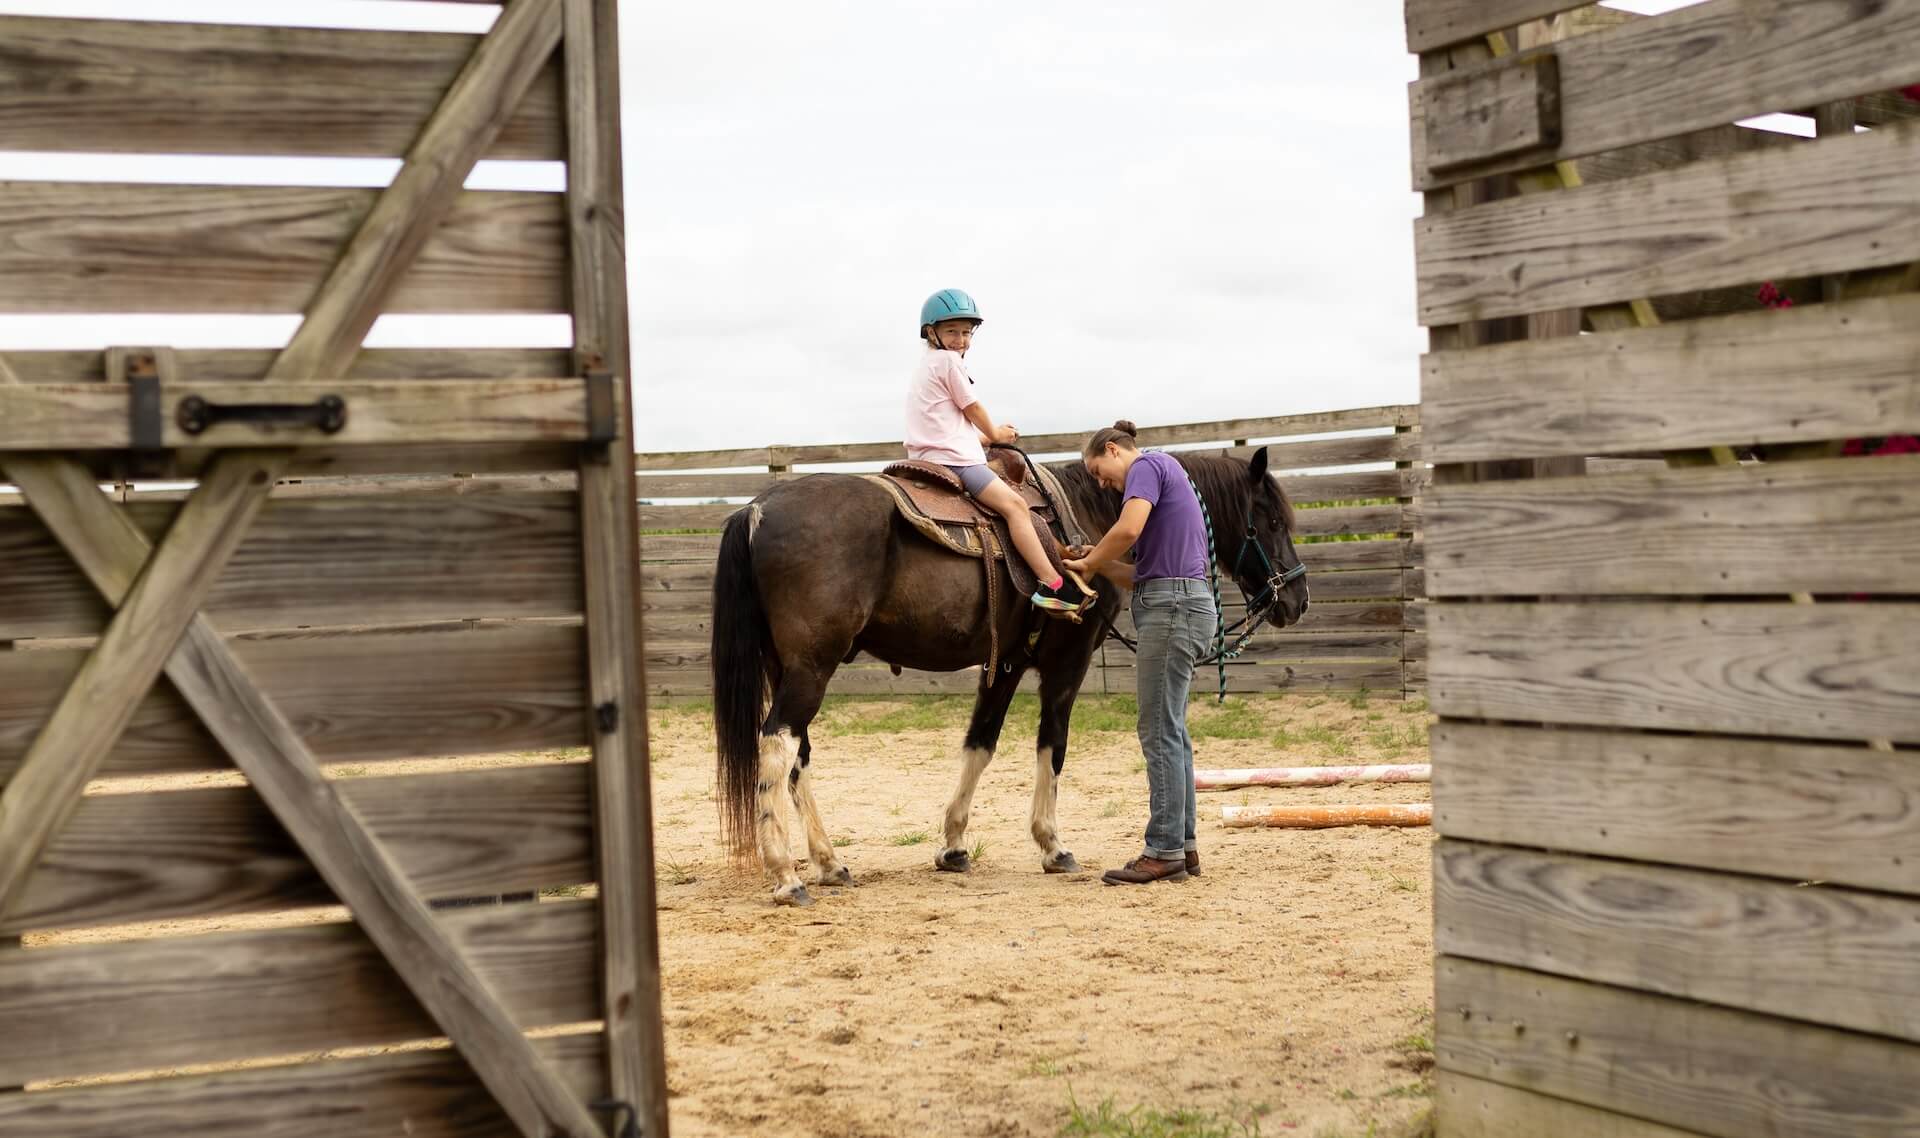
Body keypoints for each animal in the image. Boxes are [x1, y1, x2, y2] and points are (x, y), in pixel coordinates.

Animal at [714, 449, 1313, 901]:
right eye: (1273, 522)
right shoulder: (1066, 662)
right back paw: (786, 875)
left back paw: (828, 863)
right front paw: (1052, 845)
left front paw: (953, 846)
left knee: (798, 759)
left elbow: (980, 743)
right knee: (776, 747)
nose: (1298, 599)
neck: (1088, 514)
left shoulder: (1002, 664)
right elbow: (1053, 744)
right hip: (810, 671)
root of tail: (757, 510)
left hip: (790, 669)